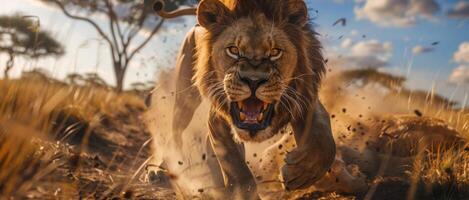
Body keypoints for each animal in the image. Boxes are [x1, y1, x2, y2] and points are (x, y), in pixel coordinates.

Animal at [144, 0, 342, 198]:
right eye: (234, 50)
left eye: (275, 52)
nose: (253, 80)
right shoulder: (217, 118)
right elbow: (234, 165)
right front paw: (241, 191)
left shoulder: (305, 99)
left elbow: (324, 140)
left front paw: (300, 173)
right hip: (185, 99)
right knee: (174, 135)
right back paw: (160, 171)